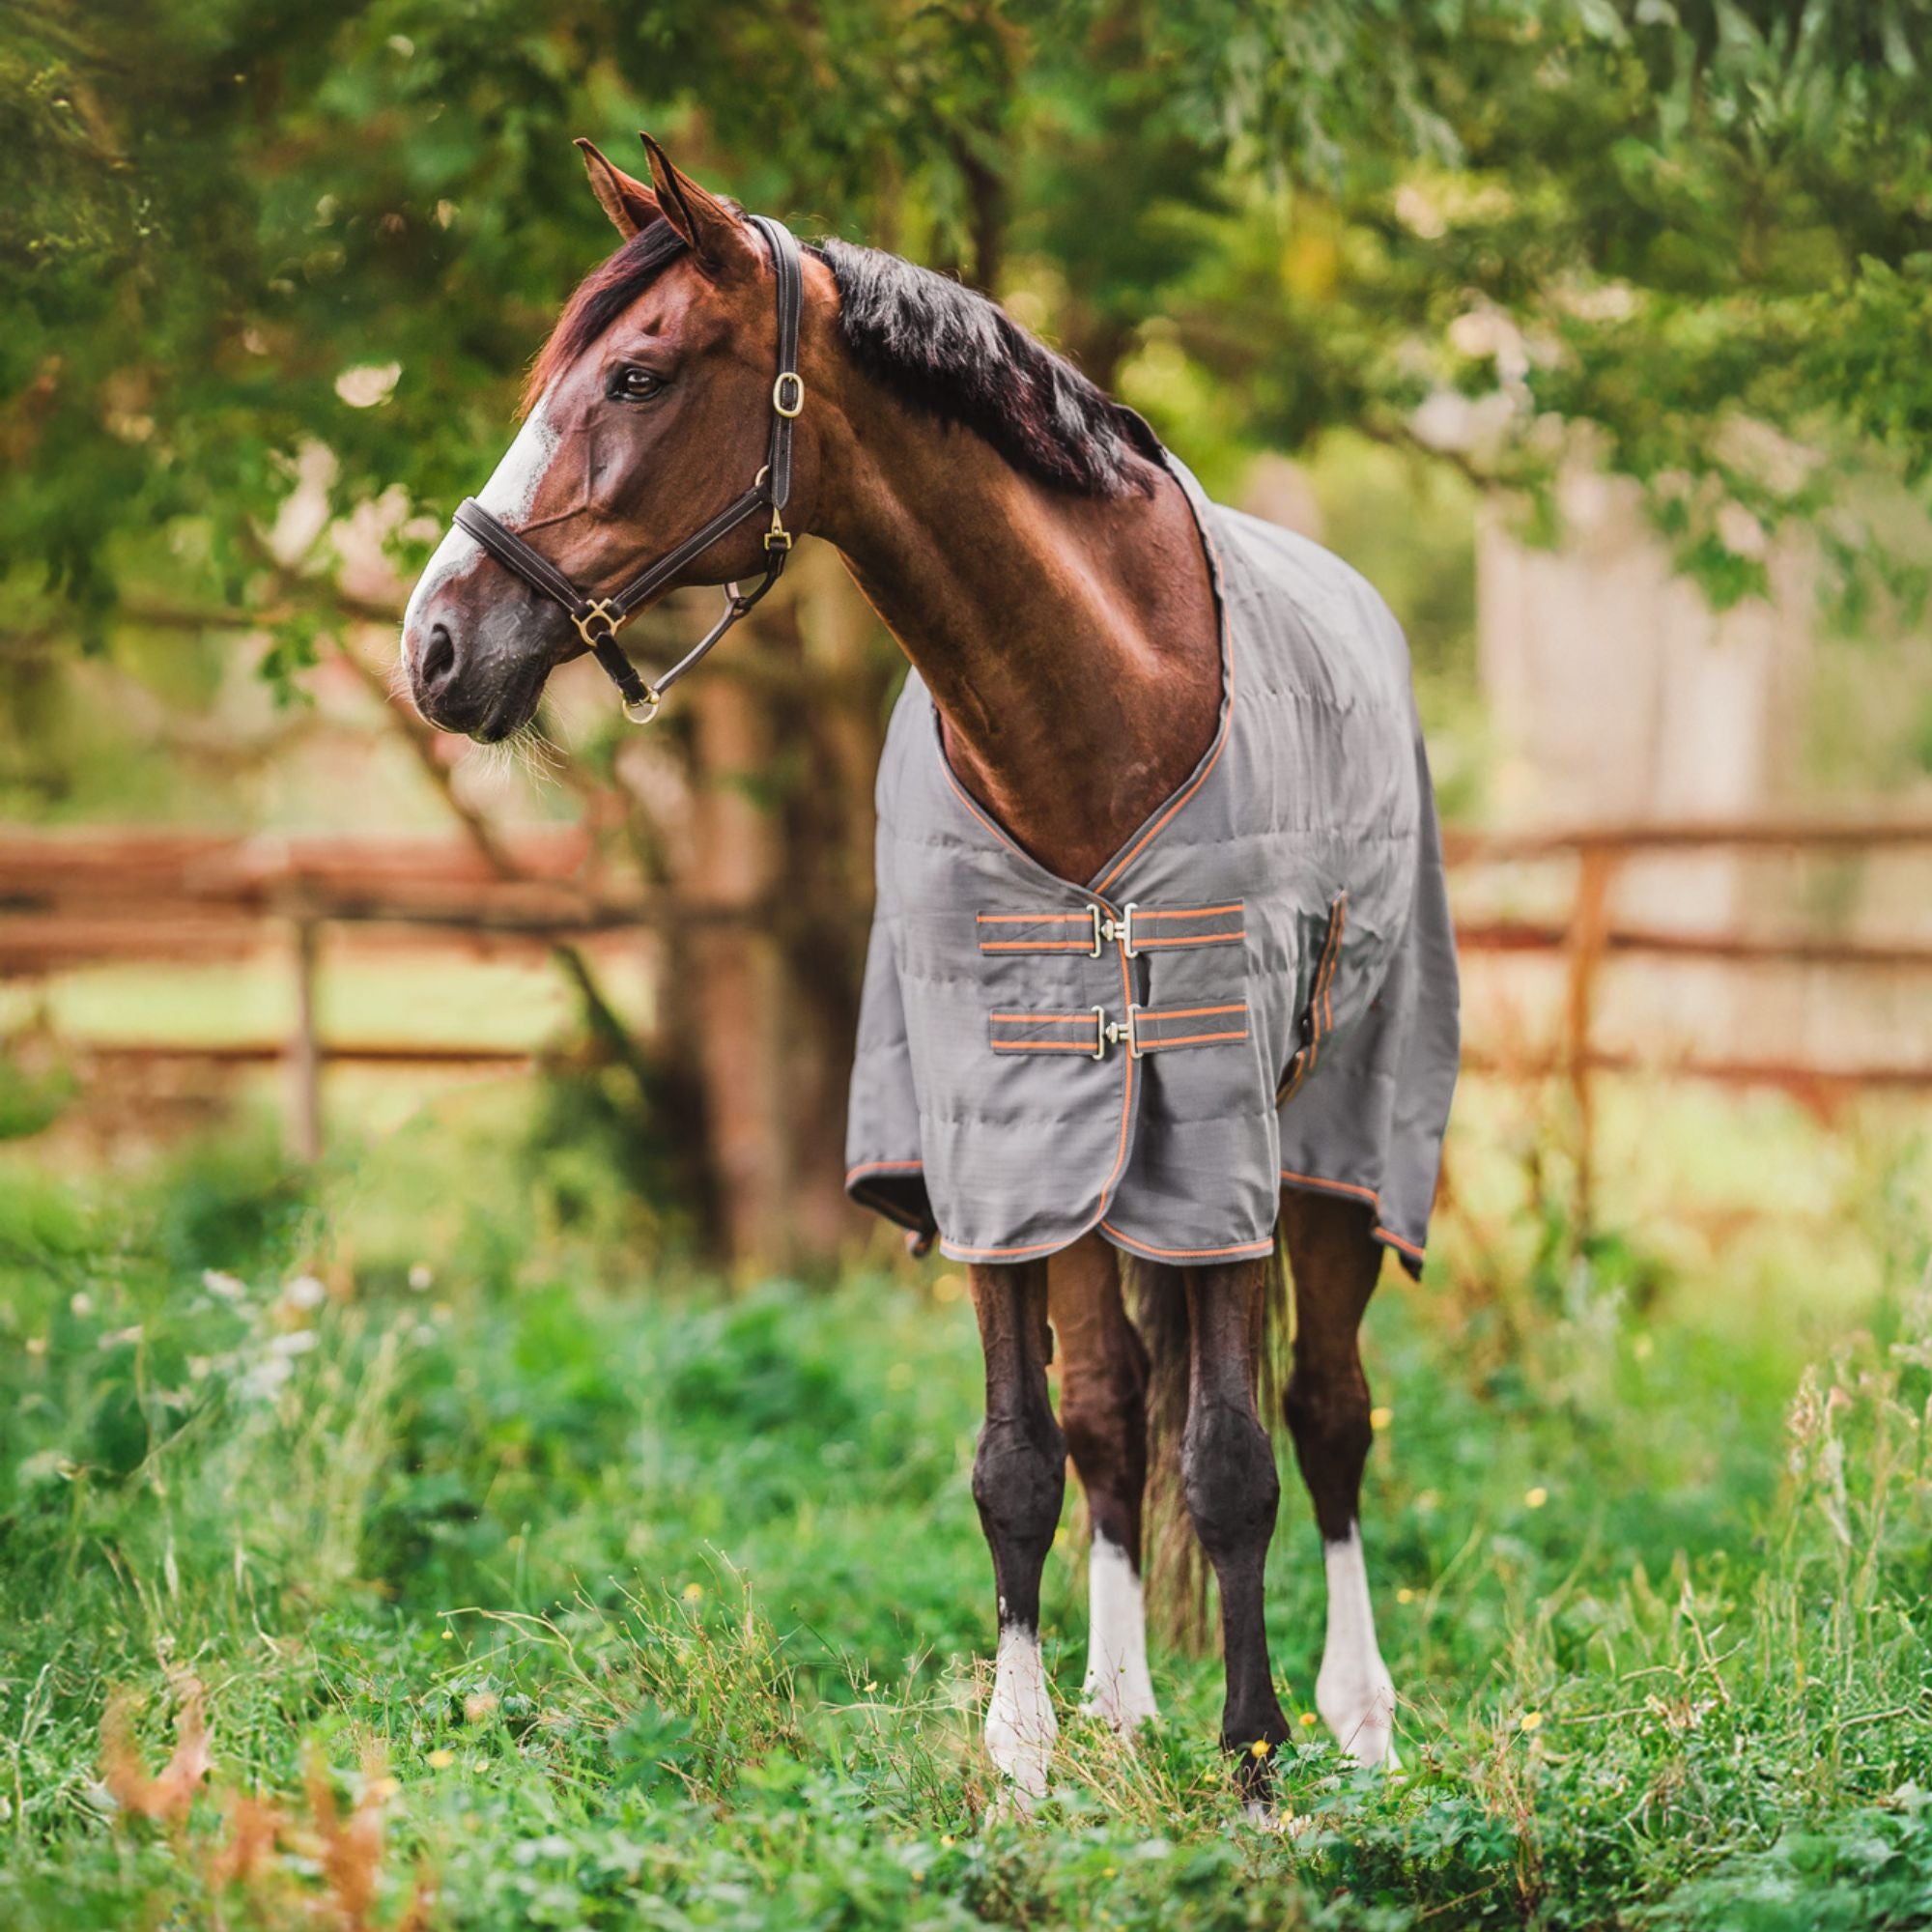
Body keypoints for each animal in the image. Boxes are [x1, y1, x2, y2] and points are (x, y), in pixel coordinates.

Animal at [400, 136, 1453, 1808]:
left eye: (634, 377)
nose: (434, 646)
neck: (1096, 702)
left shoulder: (1225, 1131)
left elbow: (1236, 1461)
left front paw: (1257, 1763)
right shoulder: (999, 1143)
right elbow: (1025, 1455)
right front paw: (1023, 1760)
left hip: (1337, 1152)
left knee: (1328, 1416)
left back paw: (1357, 1721)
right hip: (1099, 1169)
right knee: (1112, 1417)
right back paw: (1119, 1709)